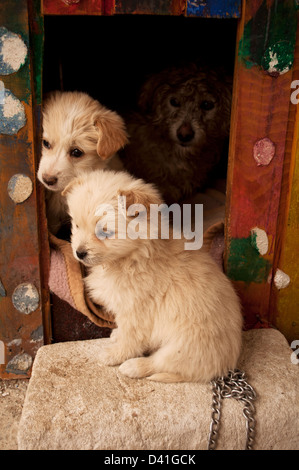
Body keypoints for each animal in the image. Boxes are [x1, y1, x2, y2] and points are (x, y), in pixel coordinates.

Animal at [63, 171, 244, 384]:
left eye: (103, 232)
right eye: (76, 225)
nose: (79, 253)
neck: (133, 258)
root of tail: (224, 365)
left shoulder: (136, 313)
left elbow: (130, 339)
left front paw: (114, 354)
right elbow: (123, 330)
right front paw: (117, 335)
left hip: (183, 347)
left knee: (160, 363)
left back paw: (134, 366)